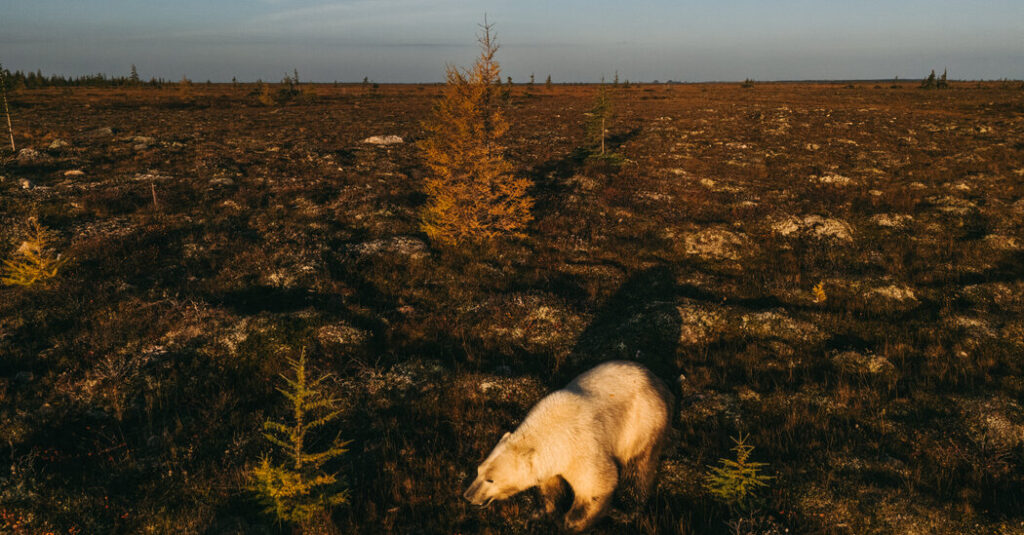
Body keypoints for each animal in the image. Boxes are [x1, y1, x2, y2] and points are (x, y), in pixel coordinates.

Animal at [463, 360, 673, 532]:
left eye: (491, 480)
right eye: (478, 470)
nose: (468, 496)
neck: (551, 428)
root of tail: (659, 382)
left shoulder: (583, 447)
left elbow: (598, 484)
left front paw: (570, 522)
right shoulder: (550, 460)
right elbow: (550, 485)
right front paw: (540, 514)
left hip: (642, 424)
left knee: (638, 469)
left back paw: (625, 510)